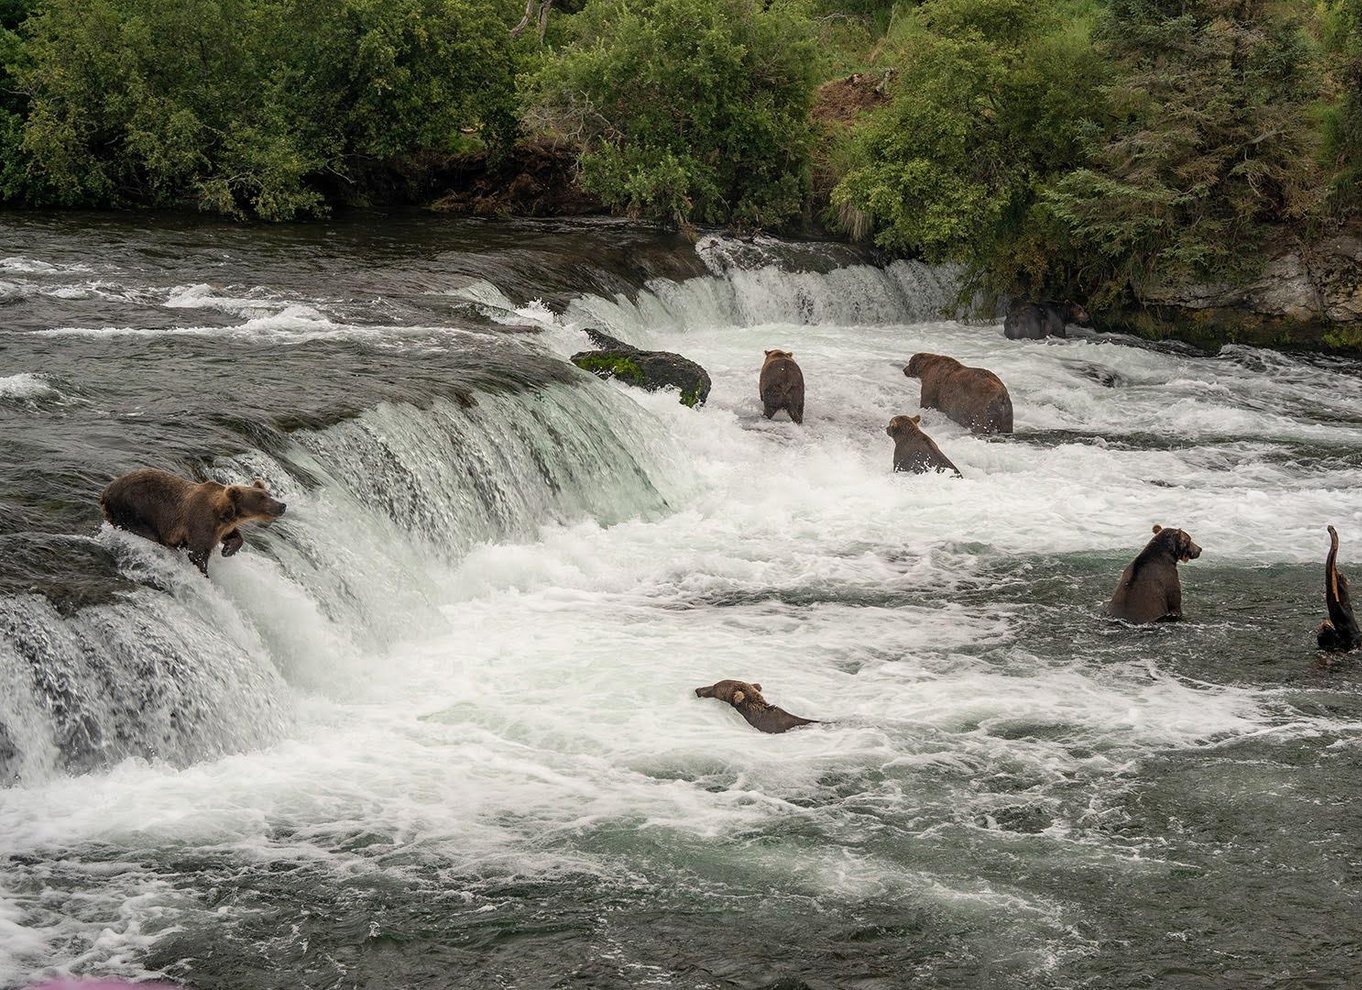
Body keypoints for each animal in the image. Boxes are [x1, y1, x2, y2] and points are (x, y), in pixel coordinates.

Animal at [100, 468, 287, 576]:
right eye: (261, 497)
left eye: (269, 494)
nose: (282, 505)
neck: (224, 514)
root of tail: (106, 490)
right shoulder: (200, 522)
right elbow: (198, 553)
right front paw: (205, 574)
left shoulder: (222, 527)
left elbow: (233, 536)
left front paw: (228, 550)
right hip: (133, 509)